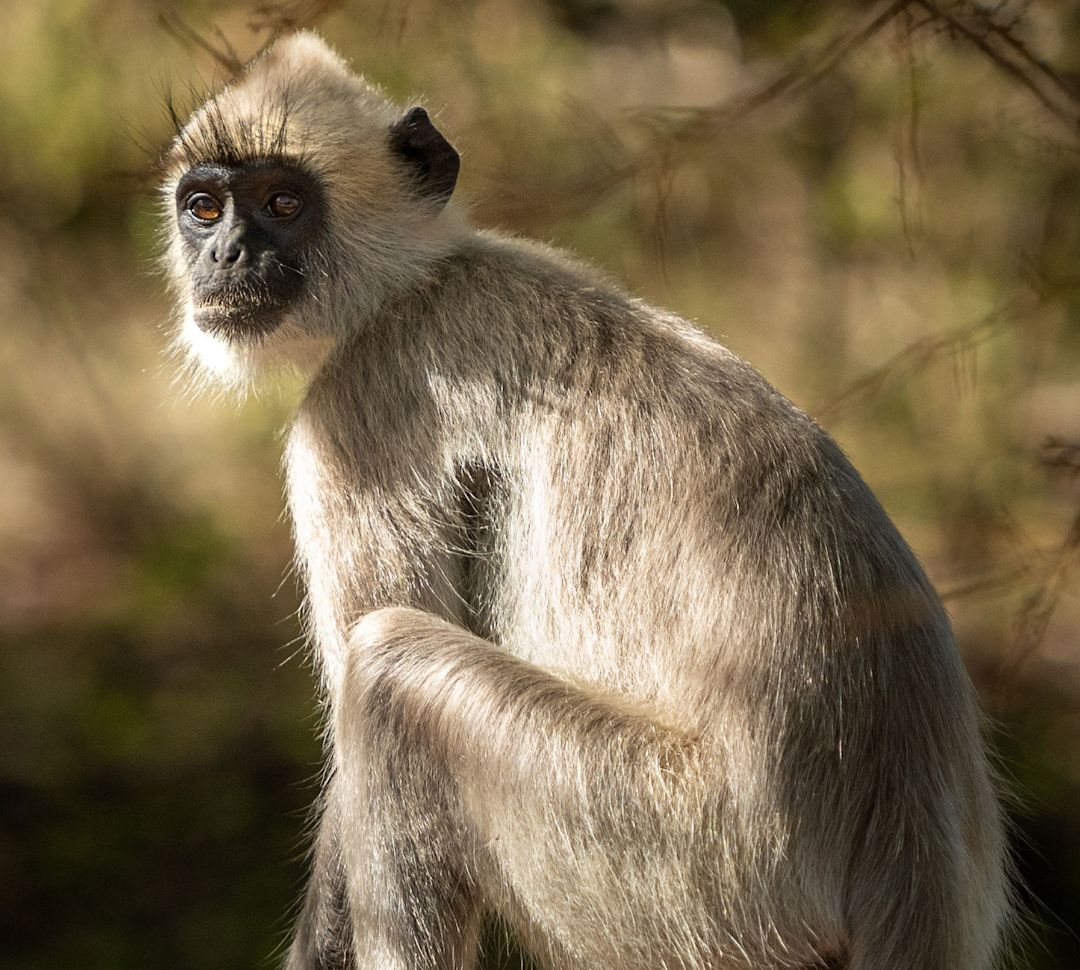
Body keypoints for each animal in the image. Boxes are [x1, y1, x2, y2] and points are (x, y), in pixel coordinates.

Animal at [160, 31, 1008, 970]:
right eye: (204, 209)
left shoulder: (359, 408)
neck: (416, 283)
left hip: (693, 865)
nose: (223, 257)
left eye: (281, 203)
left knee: (388, 667)